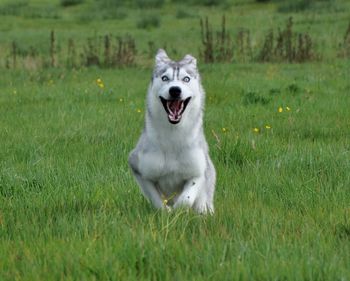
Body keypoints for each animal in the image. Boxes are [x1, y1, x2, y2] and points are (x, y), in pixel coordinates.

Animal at [129, 49, 216, 213]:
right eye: (165, 78)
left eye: (186, 79)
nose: (175, 90)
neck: (173, 136)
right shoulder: (137, 167)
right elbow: (157, 200)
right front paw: (167, 212)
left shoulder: (198, 171)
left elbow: (186, 199)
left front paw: (178, 210)